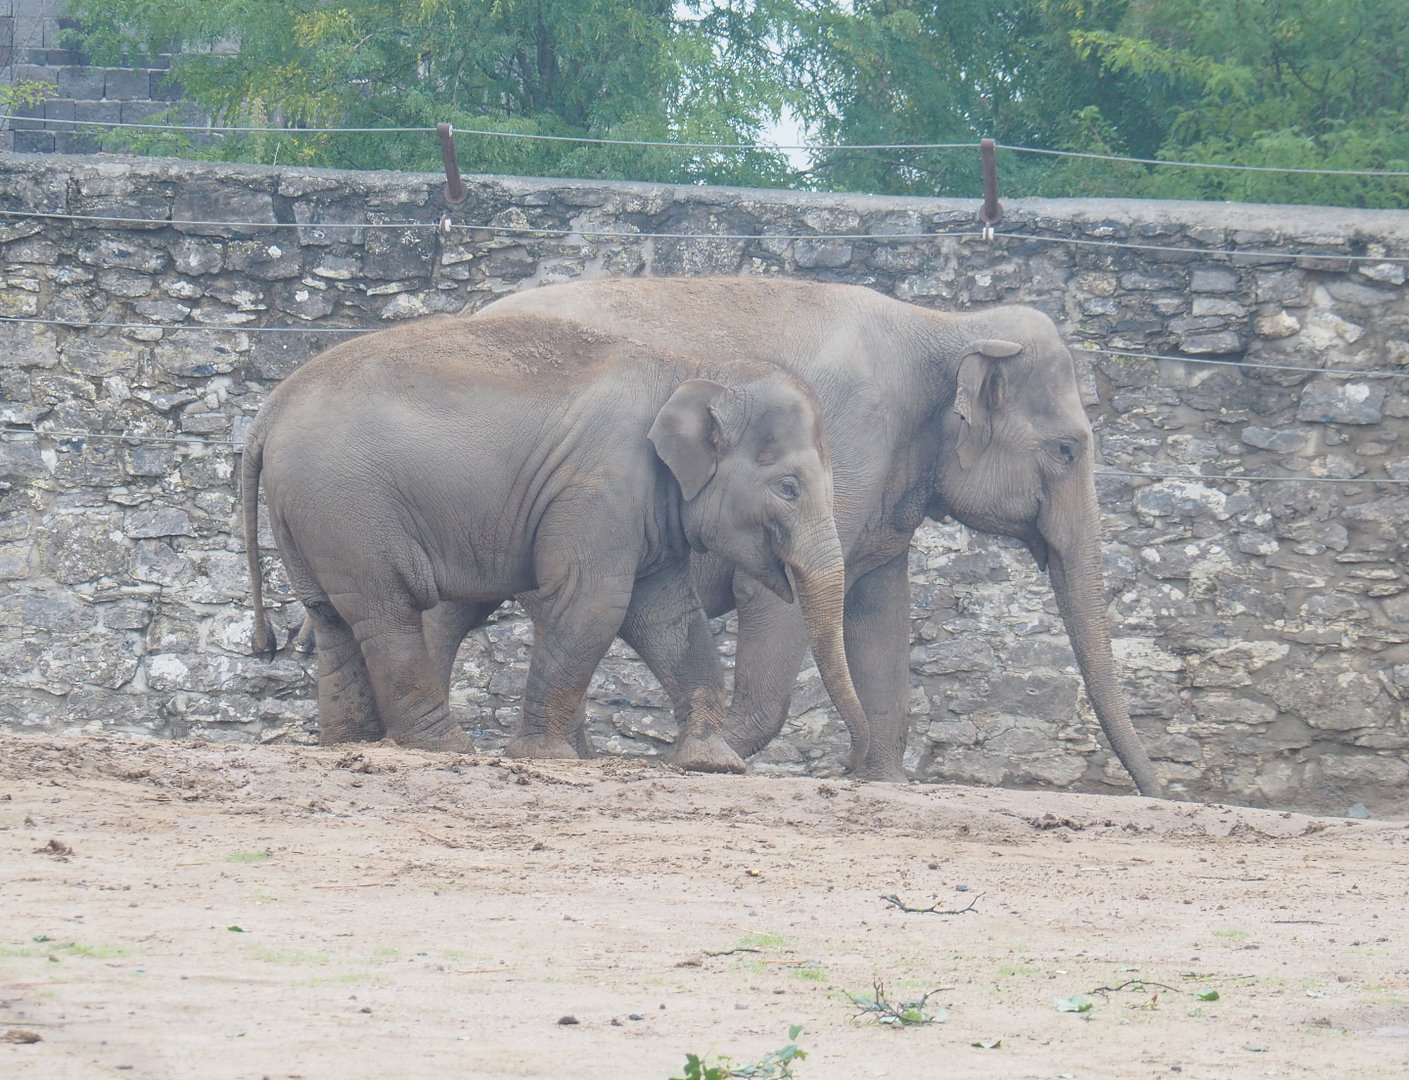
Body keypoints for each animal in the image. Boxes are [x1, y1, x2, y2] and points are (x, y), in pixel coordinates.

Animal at [240, 312, 870, 773]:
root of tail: (268, 411)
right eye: (788, 487)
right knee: (388, 611)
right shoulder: (601, 487)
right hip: (348, 505)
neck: (693, 367)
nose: (852, 765)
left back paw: (353, 744)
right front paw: (544, 756)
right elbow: (592, 603)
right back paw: (447, 749)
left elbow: (668, 617)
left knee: (332, 617)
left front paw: (710, 763)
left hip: (310, 515)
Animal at [440, 277, 1158, 795]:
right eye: (1067, 449)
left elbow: (880, 615)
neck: (943, 325)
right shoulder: (846, 444)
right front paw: (712, 758)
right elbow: (776, 599)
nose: (1161, 794)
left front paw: (883, 781)